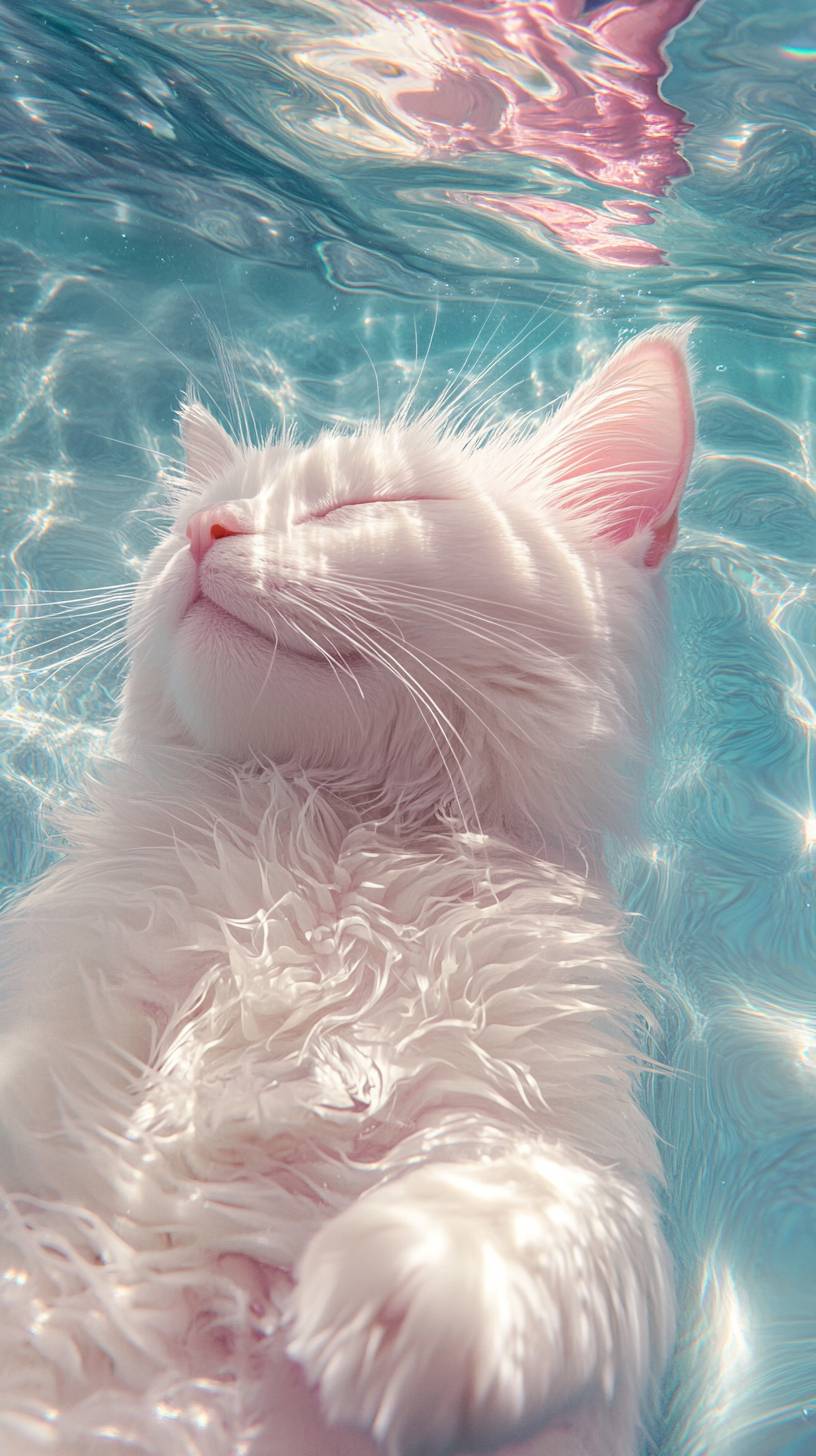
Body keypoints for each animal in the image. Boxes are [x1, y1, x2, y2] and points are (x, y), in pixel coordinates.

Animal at [0, 324, 693, 1450]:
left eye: (363, 504)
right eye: (206, 507)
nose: (204, 529)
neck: (315, 843)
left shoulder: (566, 1124)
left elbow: (544, 1194)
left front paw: (415, 1284)